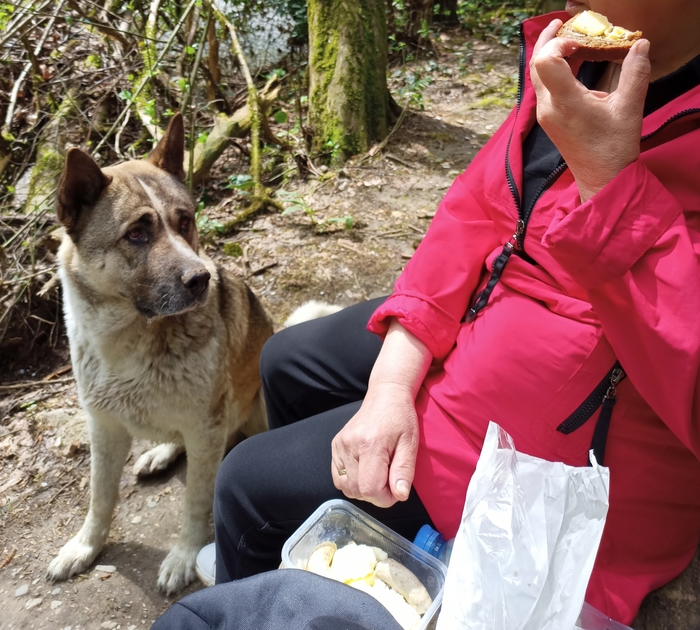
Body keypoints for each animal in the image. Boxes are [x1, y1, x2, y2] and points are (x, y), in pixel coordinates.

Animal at [46, 113, 339, 594]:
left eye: (184, 222)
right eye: (137, 233)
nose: (200, 279)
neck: (129, 344)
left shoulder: (205, 428)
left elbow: (196, 501)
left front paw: (183, 556)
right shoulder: (104, 428)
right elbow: (99, 496)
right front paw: (85, 547)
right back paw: (159, 452)